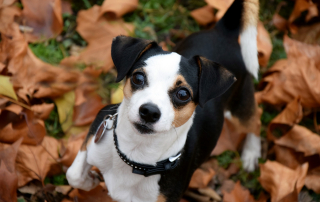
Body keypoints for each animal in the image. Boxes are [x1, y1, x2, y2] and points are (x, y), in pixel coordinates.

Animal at [67, 0, 260, 201]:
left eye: (183, 94)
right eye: (138, 77)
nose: (149, 112)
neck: (136, 156)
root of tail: (223, 30)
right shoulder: (95, 134)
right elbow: (73, 175)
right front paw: (90, 181)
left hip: (240, 106)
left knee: (255, 122)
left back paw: (251, 153)